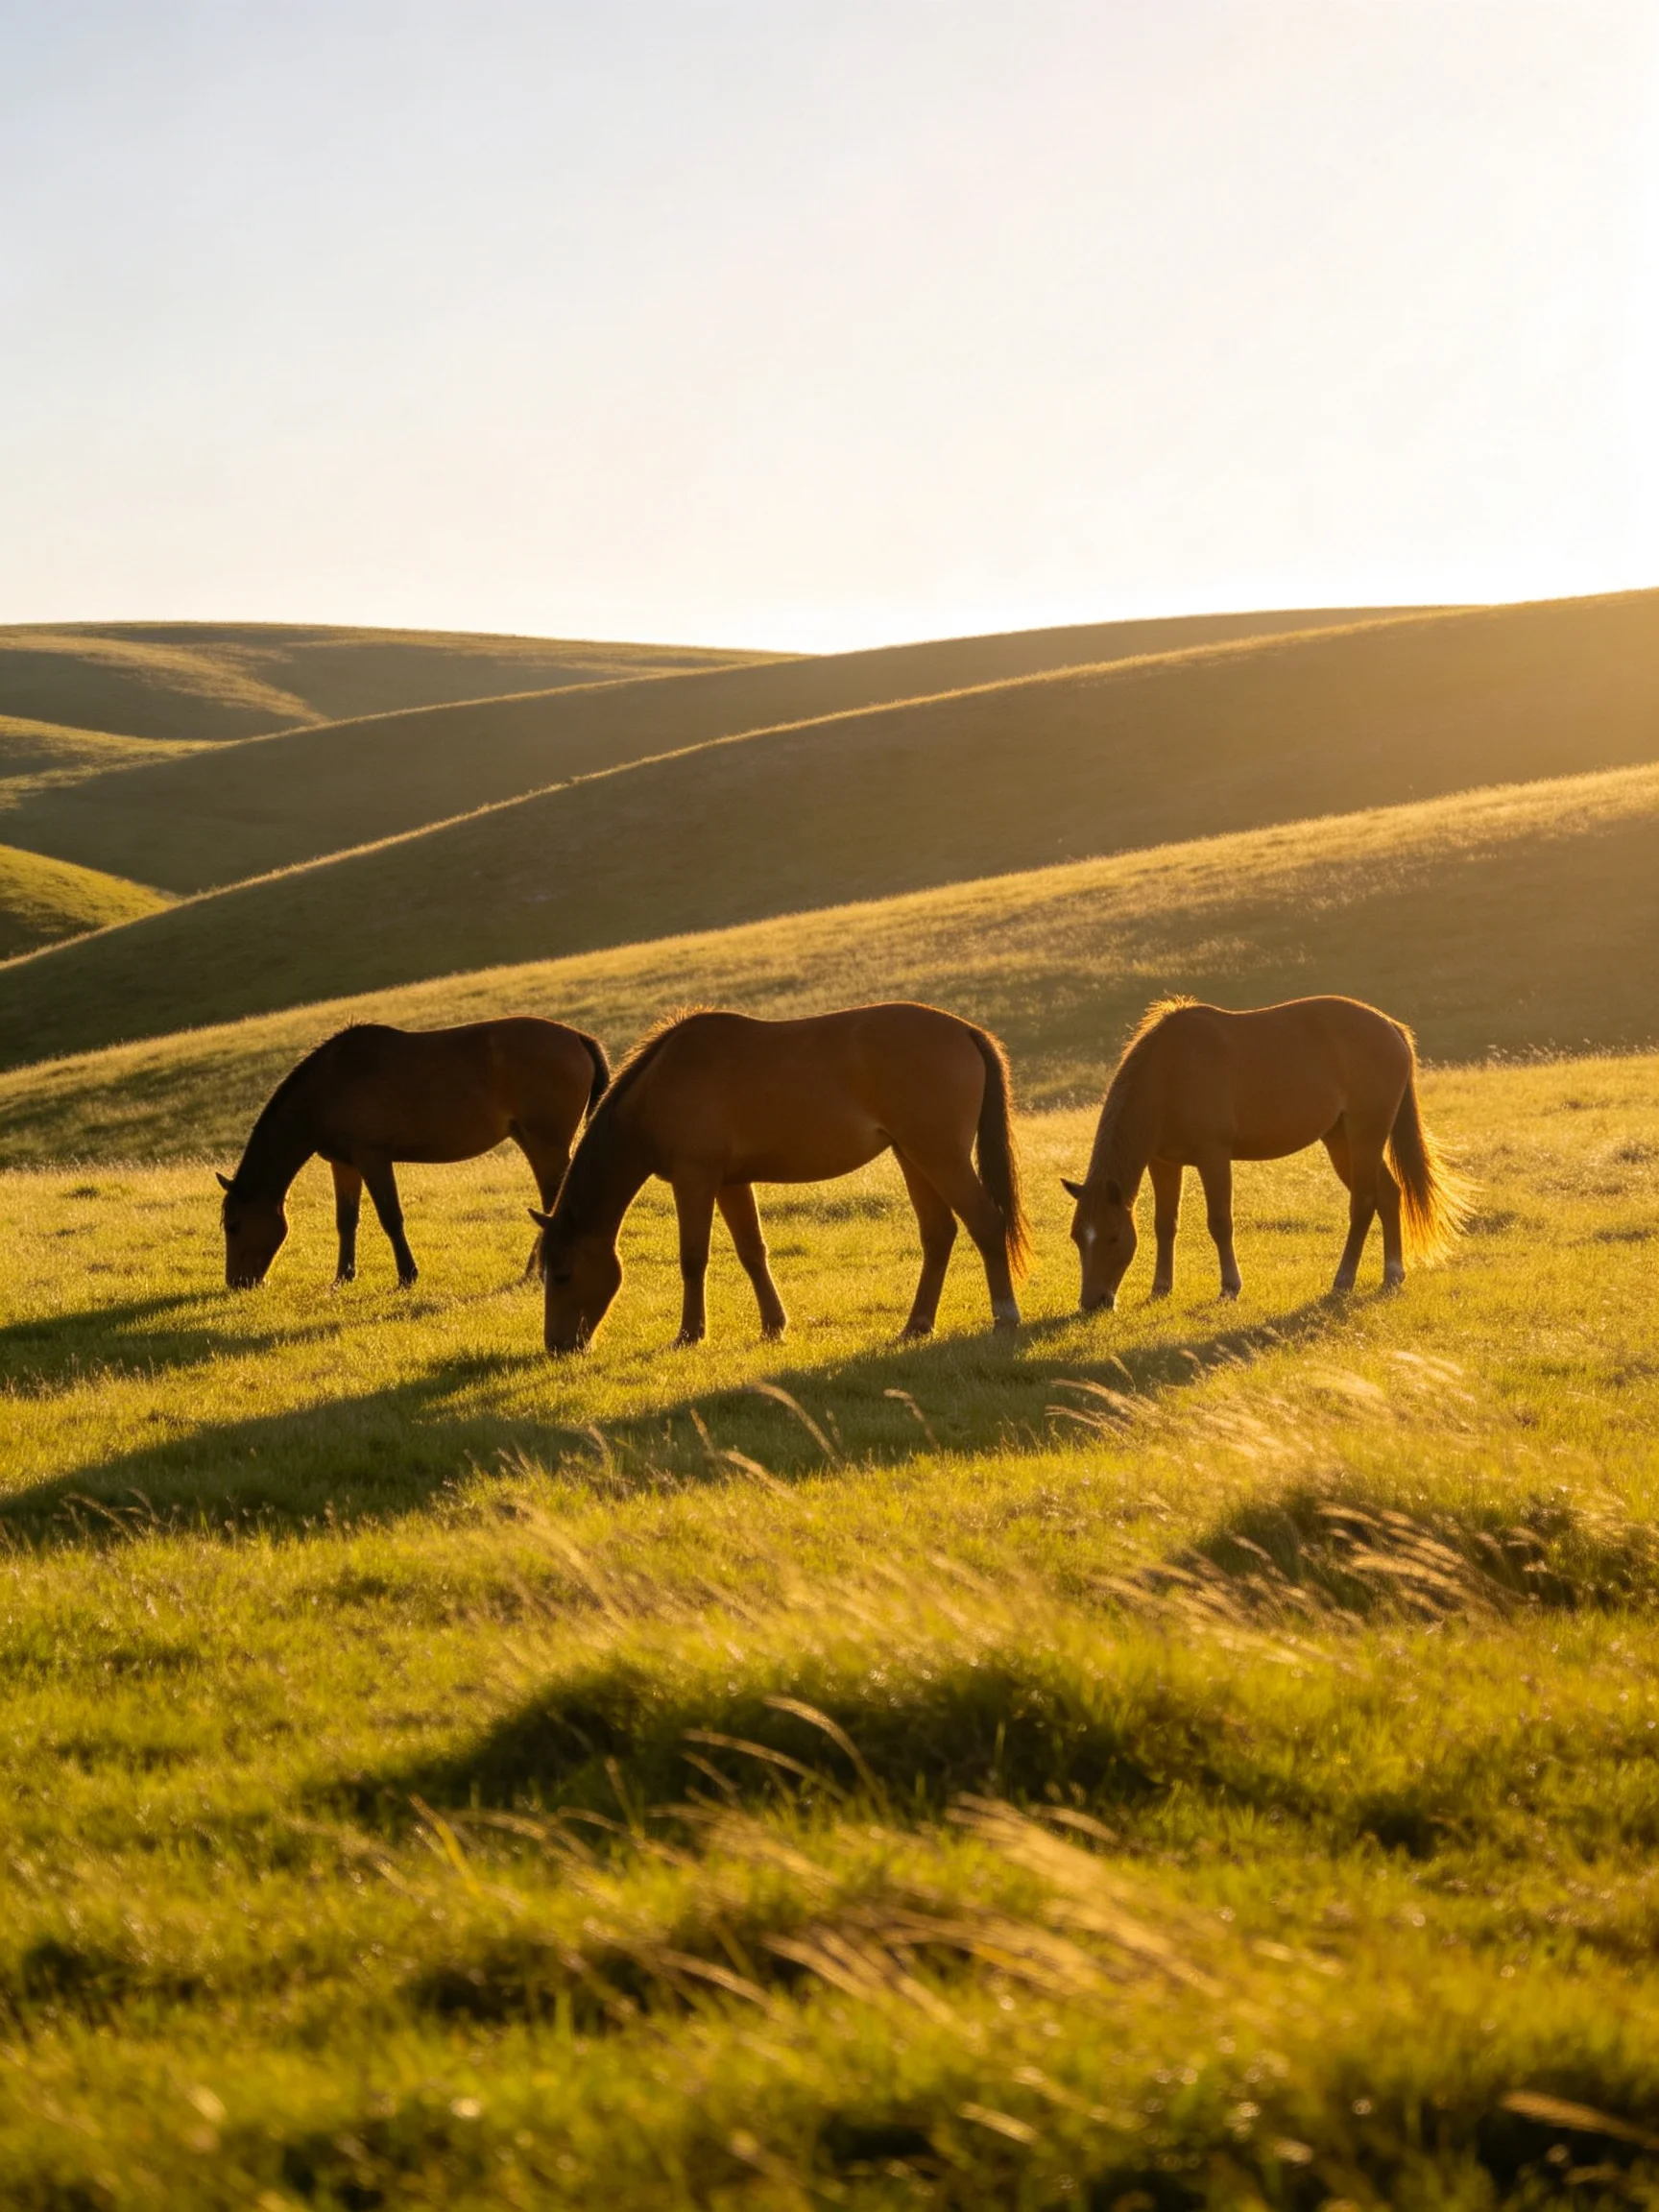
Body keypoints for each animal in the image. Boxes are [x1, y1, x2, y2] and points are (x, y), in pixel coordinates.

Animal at [218, 1018, 609, 1289]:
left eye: (234, 1226)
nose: (237, 1283)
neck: (330, 1085)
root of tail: (577, 1037)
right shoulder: (345, 1165)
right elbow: (346, 1221)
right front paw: (343, 1276)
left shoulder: (373, 1158)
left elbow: (391, 1217)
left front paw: (407, 1274)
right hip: (532, 1141)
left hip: (547, 1143)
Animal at [528, 1003, 1030, 1353]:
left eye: (564, 1275)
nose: (557, 1346)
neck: (661, 1086)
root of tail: (964, 1031)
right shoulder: (730, 1182)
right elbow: (752, 1252)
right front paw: (773, 1325)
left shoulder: (695, 1180)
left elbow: (693, 1258)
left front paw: (690, 1334)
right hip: (913, 1156)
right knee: (939, 1234)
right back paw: (916, 1325)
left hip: (939, 1155)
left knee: (986, 1223)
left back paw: (1004, 1316)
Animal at [1062, 995, 1469, 1310]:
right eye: (1077, 1237)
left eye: (1113, 1237)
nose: (1093, 1303)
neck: (1169, 1072)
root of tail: (1391, 1028)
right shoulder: (1163, 1162)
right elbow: (1165, 1224)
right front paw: (1161, 1288)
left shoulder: (1213, 1157)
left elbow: (1219, 1222)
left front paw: (1230, 1286)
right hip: (1341, 1140)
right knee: (1388, 1194)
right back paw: (1392, 1274)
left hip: (1365, 1135)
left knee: (1364, 1203)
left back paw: (1344, 1278)